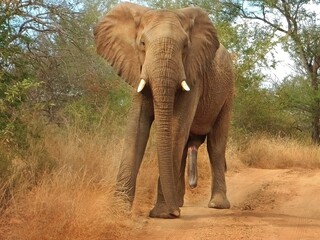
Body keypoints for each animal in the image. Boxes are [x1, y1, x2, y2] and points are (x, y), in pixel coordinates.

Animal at [94, 2, 234, 219]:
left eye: (185, 46)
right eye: (142, 43)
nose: (174, 213)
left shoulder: (193, 74)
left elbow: (175, 127)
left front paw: (163, 214)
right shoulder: (138, 68)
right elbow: (136, 127)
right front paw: (117, 211)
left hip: (227, 93)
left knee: (216, 145)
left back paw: (215, 205)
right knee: (185, 148)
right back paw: (180, 202)